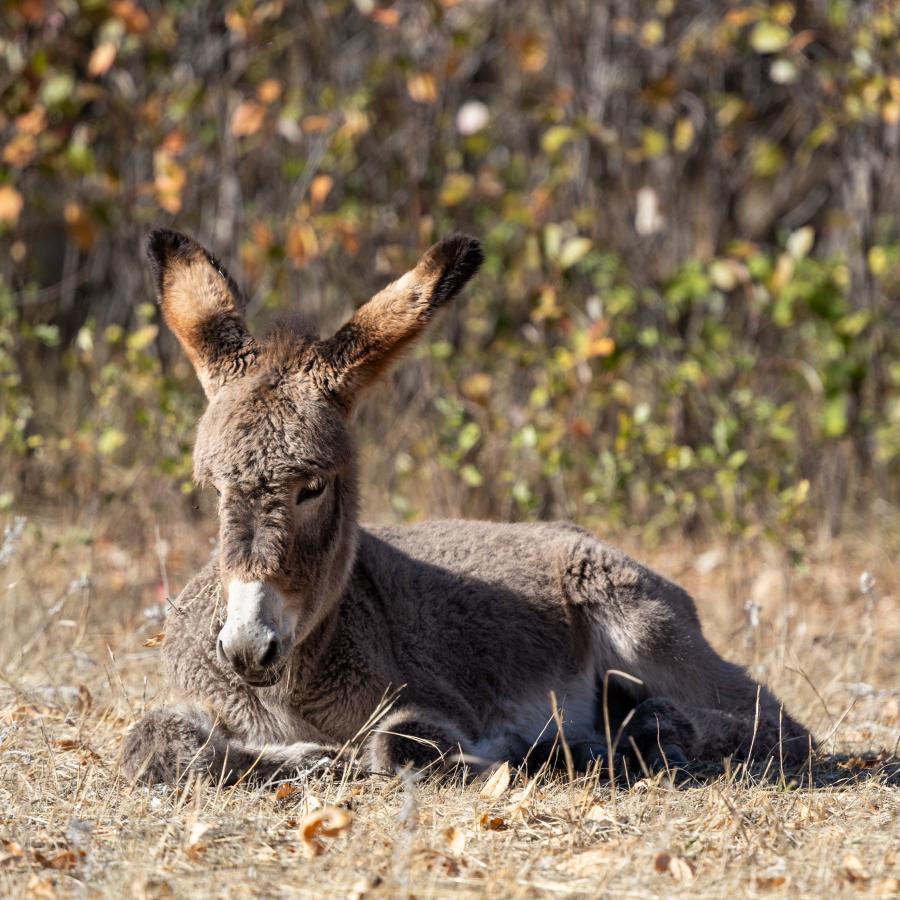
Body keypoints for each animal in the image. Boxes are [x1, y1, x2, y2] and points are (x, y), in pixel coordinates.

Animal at [121, 229, 808, 784]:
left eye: (312, 487)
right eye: (214, 490)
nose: (246, 648)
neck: (291, 686)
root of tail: (582, 537)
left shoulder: (434, 701)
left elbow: (402, 743)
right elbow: (151, 745)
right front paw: (299, 759)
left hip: (642, 625)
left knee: (770, 721)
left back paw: (615, 739)